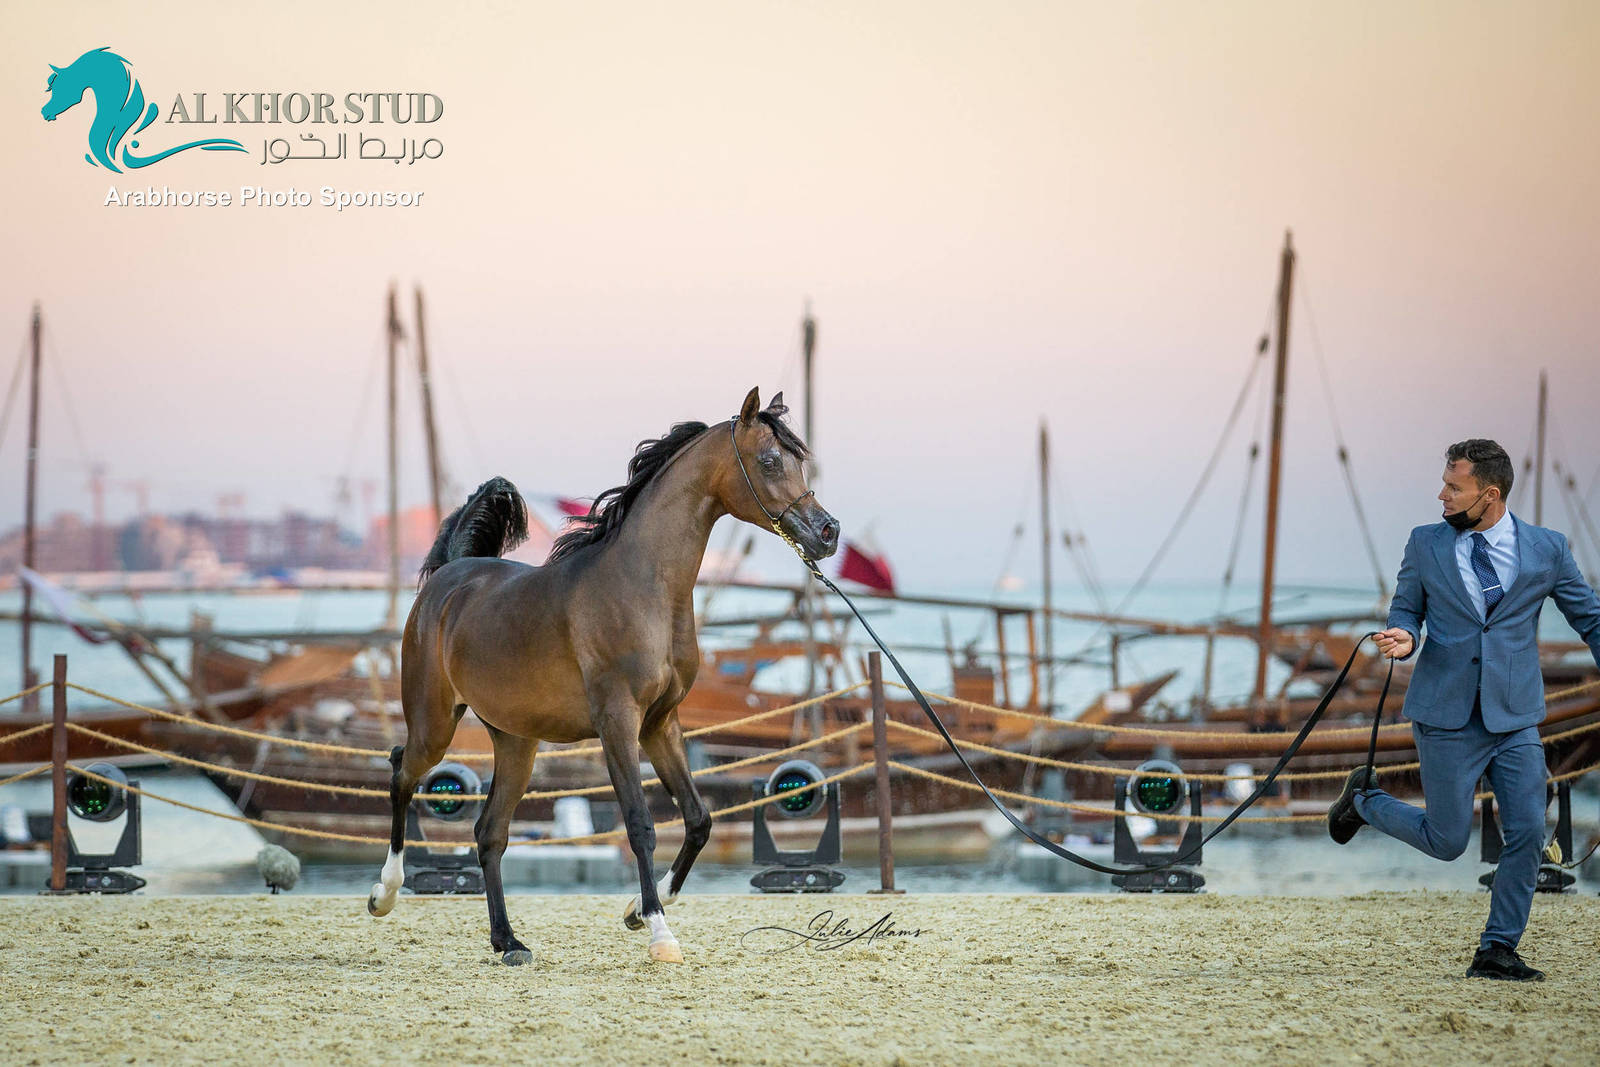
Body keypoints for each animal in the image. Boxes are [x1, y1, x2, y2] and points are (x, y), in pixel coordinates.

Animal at [367, 387, 839, 964]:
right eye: (770, 460)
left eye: (798, 459)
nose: (827, 533)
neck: (642, 587)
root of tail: (450, 577)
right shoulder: (618, 722)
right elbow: (639, 824)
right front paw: (659, 931)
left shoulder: (661, 723)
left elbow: (699, 819)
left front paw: (637, 911)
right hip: (434, 723)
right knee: (400, 772)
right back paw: (384, 895)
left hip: (517, 743)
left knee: (489, 832)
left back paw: (508, 942)